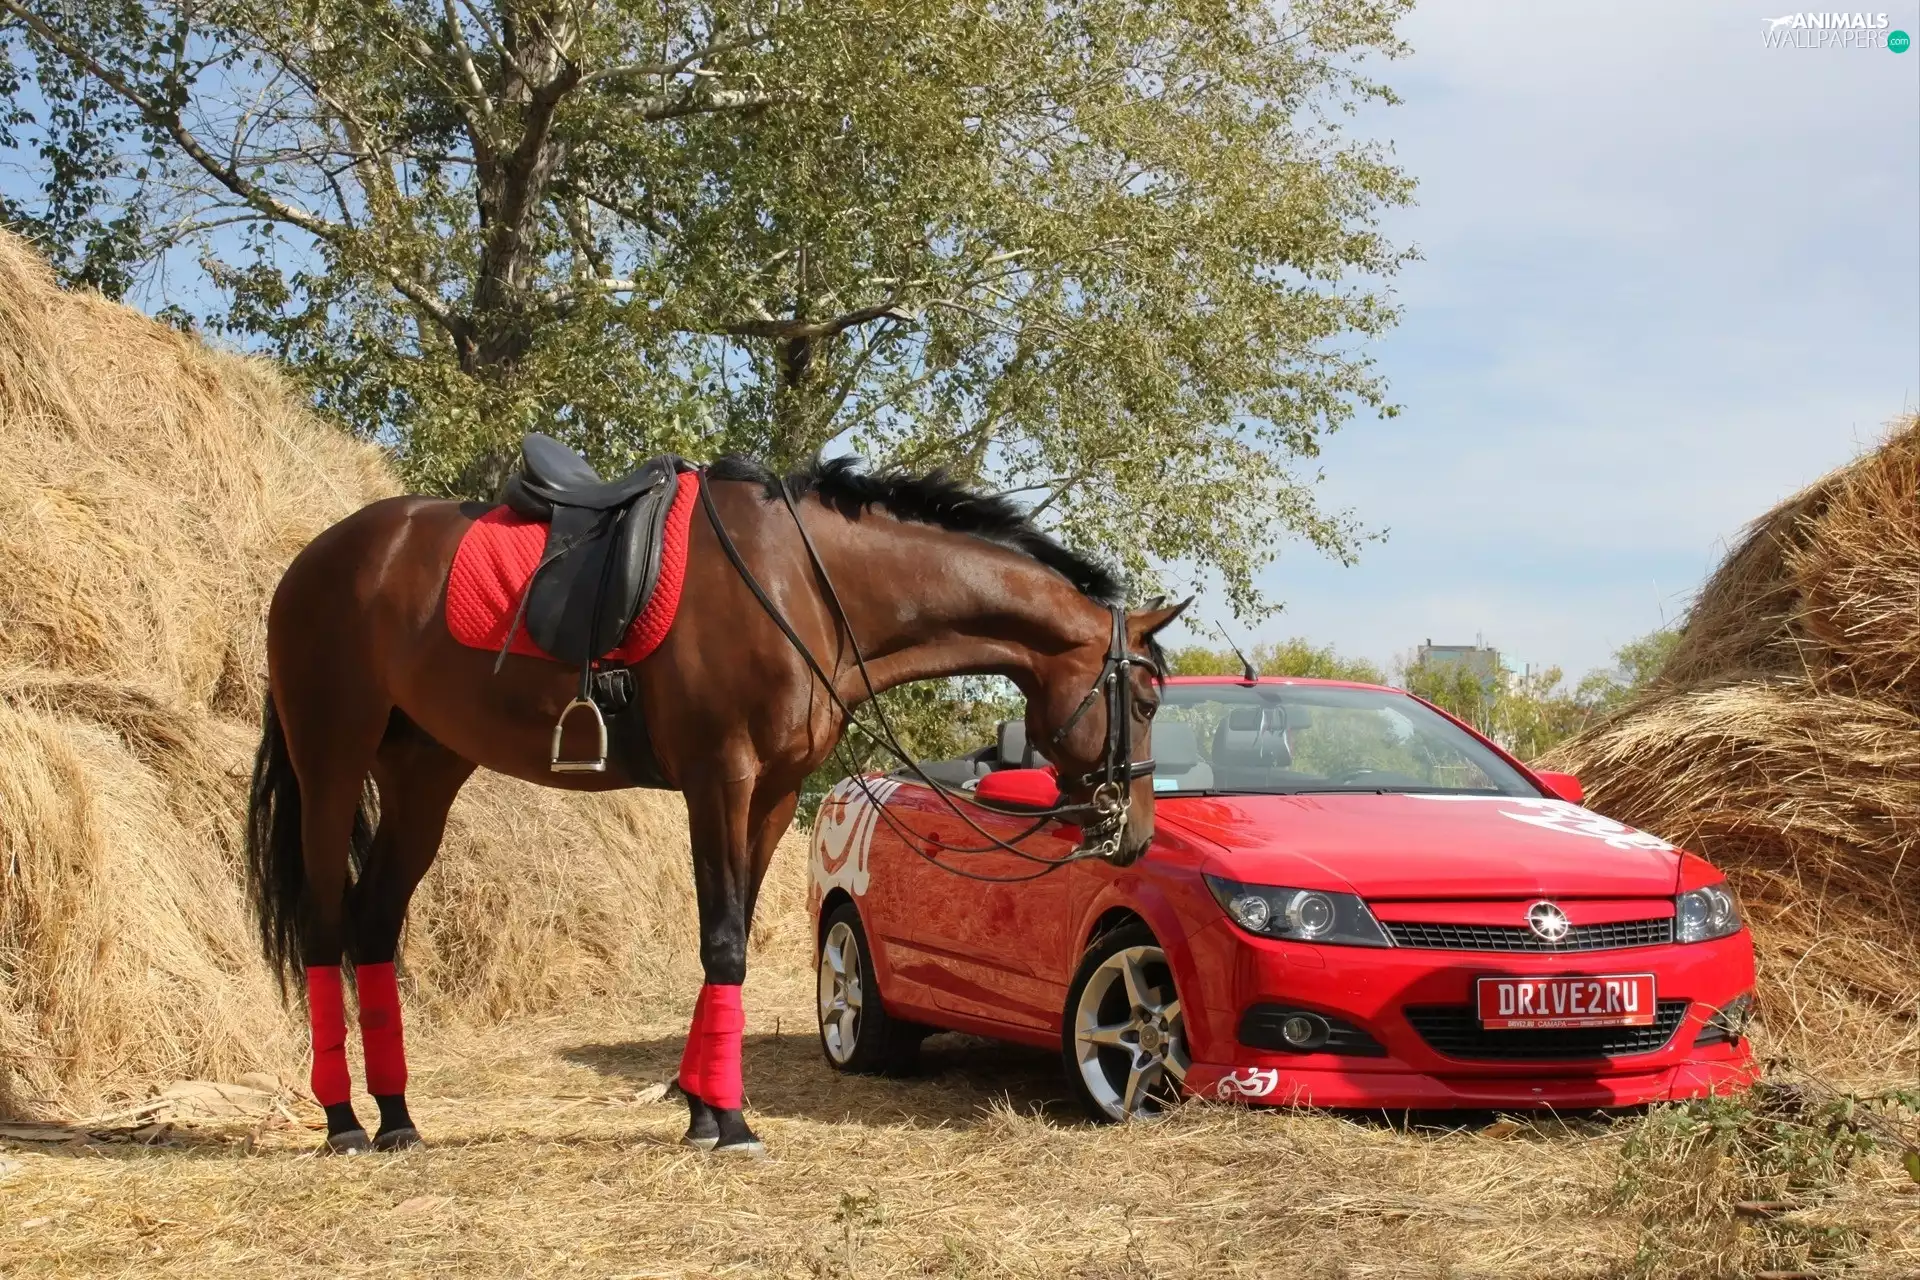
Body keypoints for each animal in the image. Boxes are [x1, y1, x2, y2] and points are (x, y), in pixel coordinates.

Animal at [245, 451, 1187, 1156]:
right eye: (1144, 699)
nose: (1135, 835)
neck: (807, 585)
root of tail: (315, 560)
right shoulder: (720, 780)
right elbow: (724, 939)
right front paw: (728, 1121)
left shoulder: (770, 796)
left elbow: (724, 943)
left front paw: (702, 1110)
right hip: (332, 764)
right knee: (326, 927)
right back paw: (343, 1122)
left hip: (424, 775)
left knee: (374, 926)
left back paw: (399, 1119)